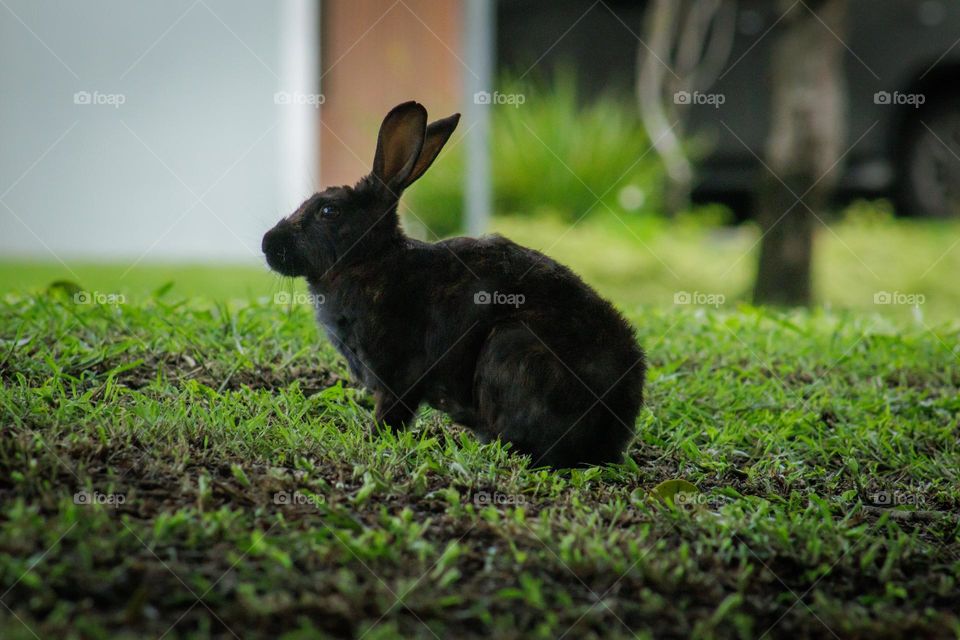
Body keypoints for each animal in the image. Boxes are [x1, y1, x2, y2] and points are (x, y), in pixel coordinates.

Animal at [262, 101, 645, 468]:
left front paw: (371, 440)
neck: (370, 259)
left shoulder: (399, 375)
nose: (267, 243)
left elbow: (391, 414)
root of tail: (609, 435)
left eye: (329, 211)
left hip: (511, 348)